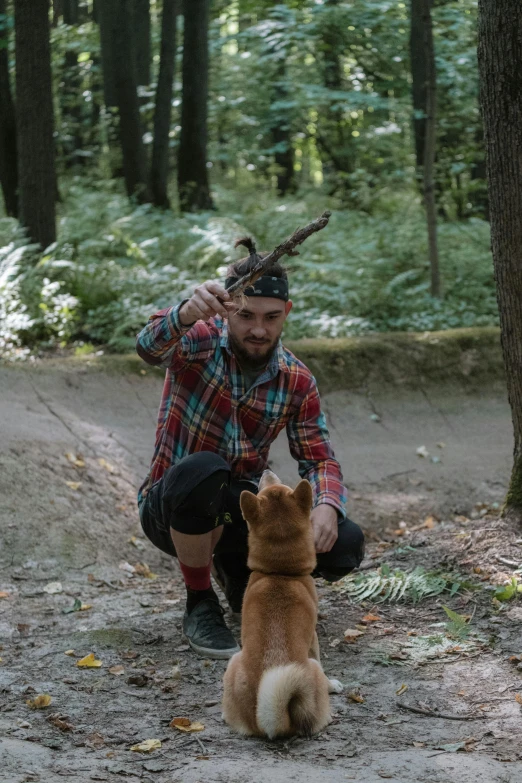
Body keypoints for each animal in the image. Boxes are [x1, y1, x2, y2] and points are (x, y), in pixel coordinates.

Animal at [219, 472, 342, 740]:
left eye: (279, 487)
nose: (266, 471)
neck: (280, 574)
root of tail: (271, 724)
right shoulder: (313, 642)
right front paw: (333, 685)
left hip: (233, 662)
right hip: (311, 669)